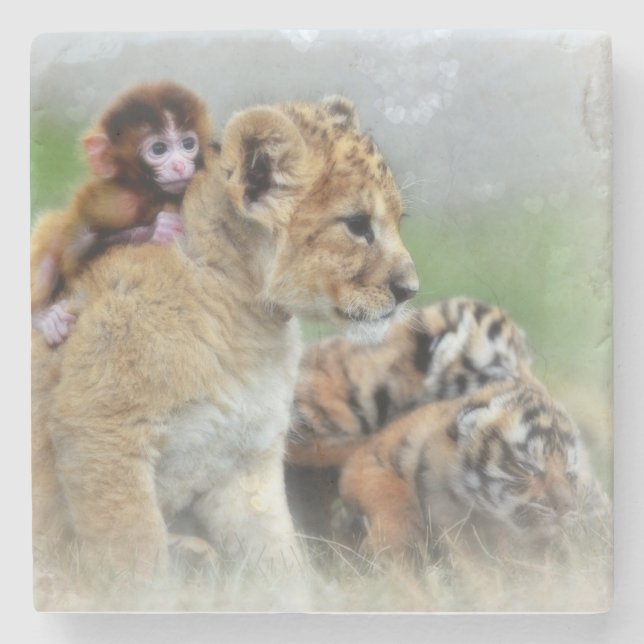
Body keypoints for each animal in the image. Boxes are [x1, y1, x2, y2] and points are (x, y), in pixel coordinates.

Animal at [30, 81, 213, 346]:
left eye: (188, 144)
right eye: (159, 148)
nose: (179, 165)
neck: (150, 193)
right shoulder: (114, 203)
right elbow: (74, 256)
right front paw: (157, 230)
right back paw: (42, 318)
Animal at [339, 377, 611, 559]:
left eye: (569, 474)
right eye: (526, 466)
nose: (566, 508)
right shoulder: (370, 458)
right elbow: (391, 495)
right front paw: (384, 549)